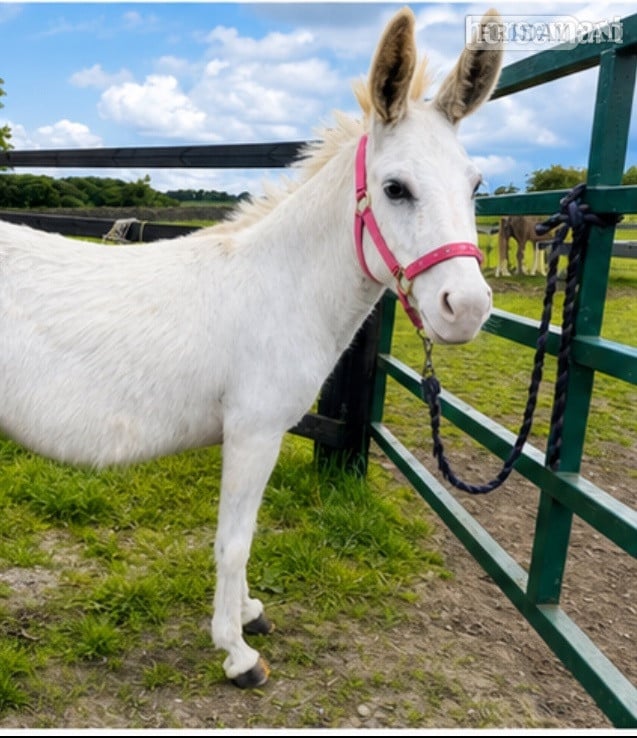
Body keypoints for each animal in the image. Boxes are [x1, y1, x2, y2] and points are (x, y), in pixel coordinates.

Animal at [0, 7, 502, 688]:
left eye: (476, 186)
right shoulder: (254, 431)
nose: (467, 309)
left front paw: (248, 614)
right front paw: (236, 652)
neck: (280, 285)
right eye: (395, 189)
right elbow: (233, 539)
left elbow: (246, 530)